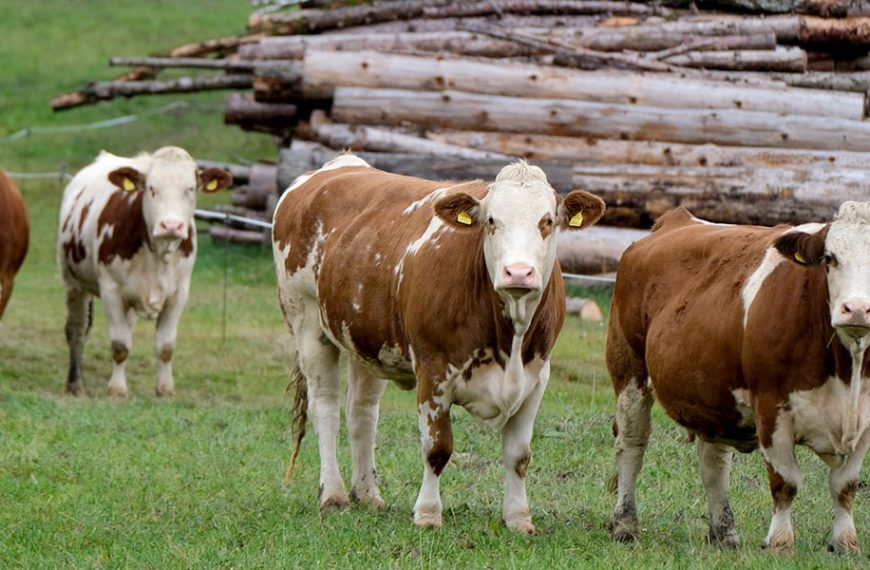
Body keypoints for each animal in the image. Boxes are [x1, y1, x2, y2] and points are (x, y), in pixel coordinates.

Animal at [57, 147, 232, 397]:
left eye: (190, 188)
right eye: (151, 188)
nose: (171, 226)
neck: (158, 254)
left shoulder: (179, 293)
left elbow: (165, 347)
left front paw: (165, 389)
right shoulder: (111, 290)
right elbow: (120, 345)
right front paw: (117, 390)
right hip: (73, 282)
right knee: (77, 329)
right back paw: (75, 383)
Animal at [272, 154, 604, 532]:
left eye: (547, 220)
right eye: (491, 220)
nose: (518, 273)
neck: (511, 340)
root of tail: (339, 163)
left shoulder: (537, 377)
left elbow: (519, 455)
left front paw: (519, 518)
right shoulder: (434, 371)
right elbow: (437, 448)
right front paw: (428, 513)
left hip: (365, 339)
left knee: (361, 411)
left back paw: (367, 494)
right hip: (308, 324)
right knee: (325, 408)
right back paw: (333, 495)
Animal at [607, 204, 870, 553]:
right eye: (830, 258)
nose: (857, 309)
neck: (846, 372)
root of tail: (676, 219)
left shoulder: (865, 420)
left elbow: (845, 486)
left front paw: (845, 543)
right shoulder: (771, 406)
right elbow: (785, 481)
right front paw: (780, 543)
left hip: (712, 393)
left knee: (714, 463)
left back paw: (724, 532)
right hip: (628, 368)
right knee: (632, 444)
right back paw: (625, 524)